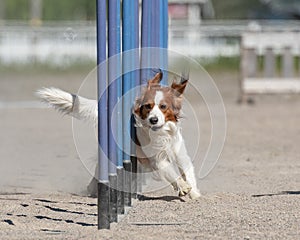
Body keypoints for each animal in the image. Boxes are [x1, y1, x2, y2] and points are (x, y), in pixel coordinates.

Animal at [37, 70, 200, 200]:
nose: (153, 120)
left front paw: (194, 194)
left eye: (163, 106)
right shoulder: (157, 160)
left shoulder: (180, 154)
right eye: (148, 106)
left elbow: (188, 172)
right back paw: (94, 189)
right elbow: (172, 173)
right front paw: (183, 187)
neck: (161, 133)